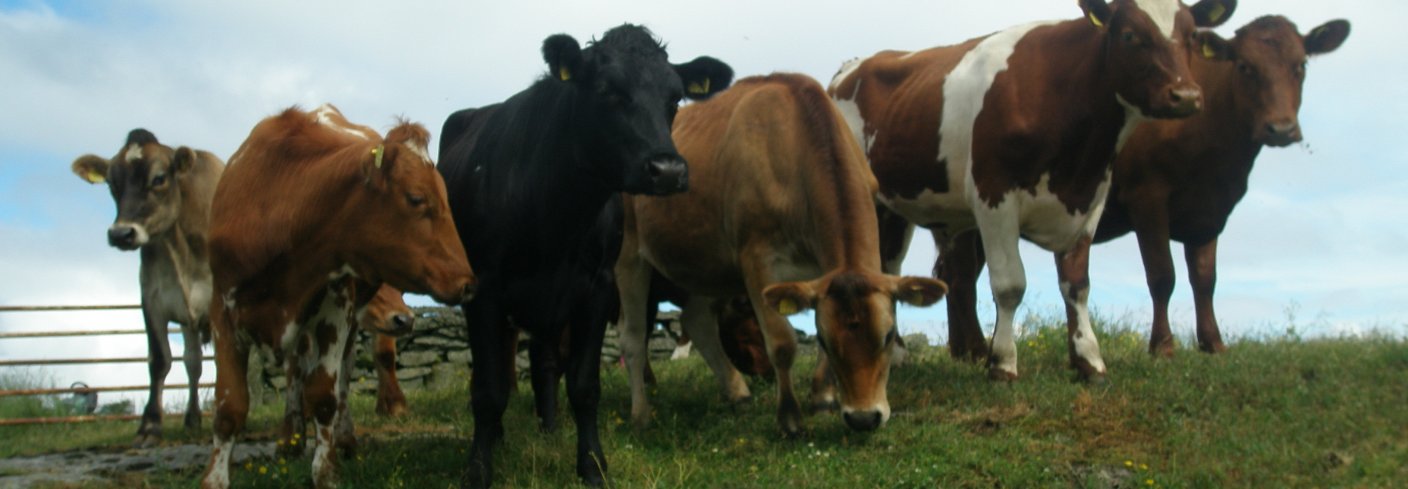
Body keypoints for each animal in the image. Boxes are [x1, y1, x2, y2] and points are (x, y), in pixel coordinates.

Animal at [69, 129, 222, 448]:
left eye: (159, 178)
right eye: (111, 183)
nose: (121, 234)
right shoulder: (151, 301)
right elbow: (160, 360)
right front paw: (150, 425)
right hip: (188, 321)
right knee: (192, 362)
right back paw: (192, 419)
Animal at [198, 104, 475, 489]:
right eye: (417, 198)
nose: (467, 281)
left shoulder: (336, 307)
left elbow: (324, 395)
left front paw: (326, 471)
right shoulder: (222, 309)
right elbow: (230, 407)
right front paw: (215, 477)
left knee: (341, 374)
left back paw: (343, 438)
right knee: (295, 370)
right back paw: (290, 438)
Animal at [433, 24, 732, 487]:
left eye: (675, 98)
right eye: (608, 90)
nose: (667, 170)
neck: (556, 212)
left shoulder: (595, 288)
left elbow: (584, 385)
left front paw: (592, 464)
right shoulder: (484, 287)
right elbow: (488, 390)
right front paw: (478, 469)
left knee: (543, 362)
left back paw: (550, 428)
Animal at [619, 73, 940, 436]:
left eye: (887, 336)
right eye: (827, 339)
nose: (863, 417)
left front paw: (822, 398)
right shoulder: (757, 260)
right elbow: (782, 342)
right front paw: (789, 419)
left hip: (702, 262)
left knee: (697, 319)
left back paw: (738, 393)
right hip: (628, 255)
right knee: (632, 338)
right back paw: (641, 415)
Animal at [827, 0, 1239, 383]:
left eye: (1191, 35)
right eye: (1129, 35)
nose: (1186, 95)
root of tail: (849, 69)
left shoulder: (1090, 200)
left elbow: (1077, 284)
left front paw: (1089, 361)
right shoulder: (994, 196)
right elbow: (1010, 284)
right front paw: (1002, 364)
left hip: (894, 208)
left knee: (888, 266)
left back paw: (895, 354)